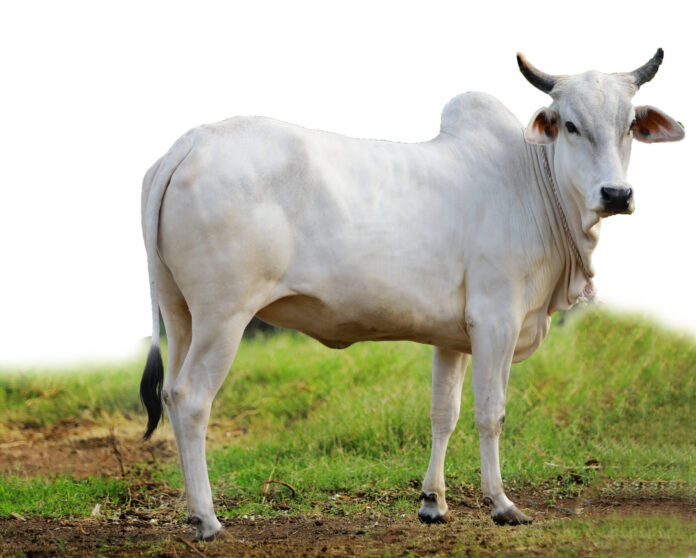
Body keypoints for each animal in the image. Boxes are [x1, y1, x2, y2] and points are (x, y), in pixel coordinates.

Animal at [139, 50, 683, 540]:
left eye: (630, 125)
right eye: (570, 125)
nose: (616, 194)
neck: (534, 183)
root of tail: (191, 142)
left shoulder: (454, 337)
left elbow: (445, 414)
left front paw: (433, 502)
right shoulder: (497, 321)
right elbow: (491, 412)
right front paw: (501, 504)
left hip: (181, 314)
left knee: (169, 393)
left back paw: (191, 512)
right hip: (224, 317)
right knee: (190, 399)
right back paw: (208, 519)